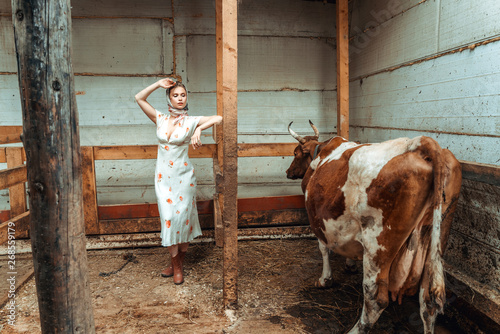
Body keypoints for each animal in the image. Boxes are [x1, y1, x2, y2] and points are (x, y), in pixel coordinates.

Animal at [288, 121, 462, 332]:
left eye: (295, 153)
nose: (288, 172)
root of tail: (419, 143)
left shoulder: (318, 221)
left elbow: (323, 248)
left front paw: (325, 280)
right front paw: (349, 265)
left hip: (377, 246)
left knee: (375, 299)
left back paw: (355, 329)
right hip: (434, 243)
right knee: (428, 304)